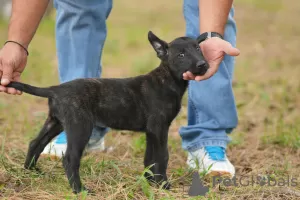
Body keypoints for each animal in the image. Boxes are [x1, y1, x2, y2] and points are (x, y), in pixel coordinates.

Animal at [7, 31, 209, 194]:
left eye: (198, 48)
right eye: (181, 54)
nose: (203, 64)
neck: (167, 79)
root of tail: (55, 89)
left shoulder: (151, 131)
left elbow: (149, 158)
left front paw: (150, 181)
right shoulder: (159, 129)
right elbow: (162, 157)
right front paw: (163, 184)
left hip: (55, 122)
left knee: (35, 143)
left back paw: (31, 171)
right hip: (80, 127)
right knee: (70, 158)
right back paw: (79, 190)